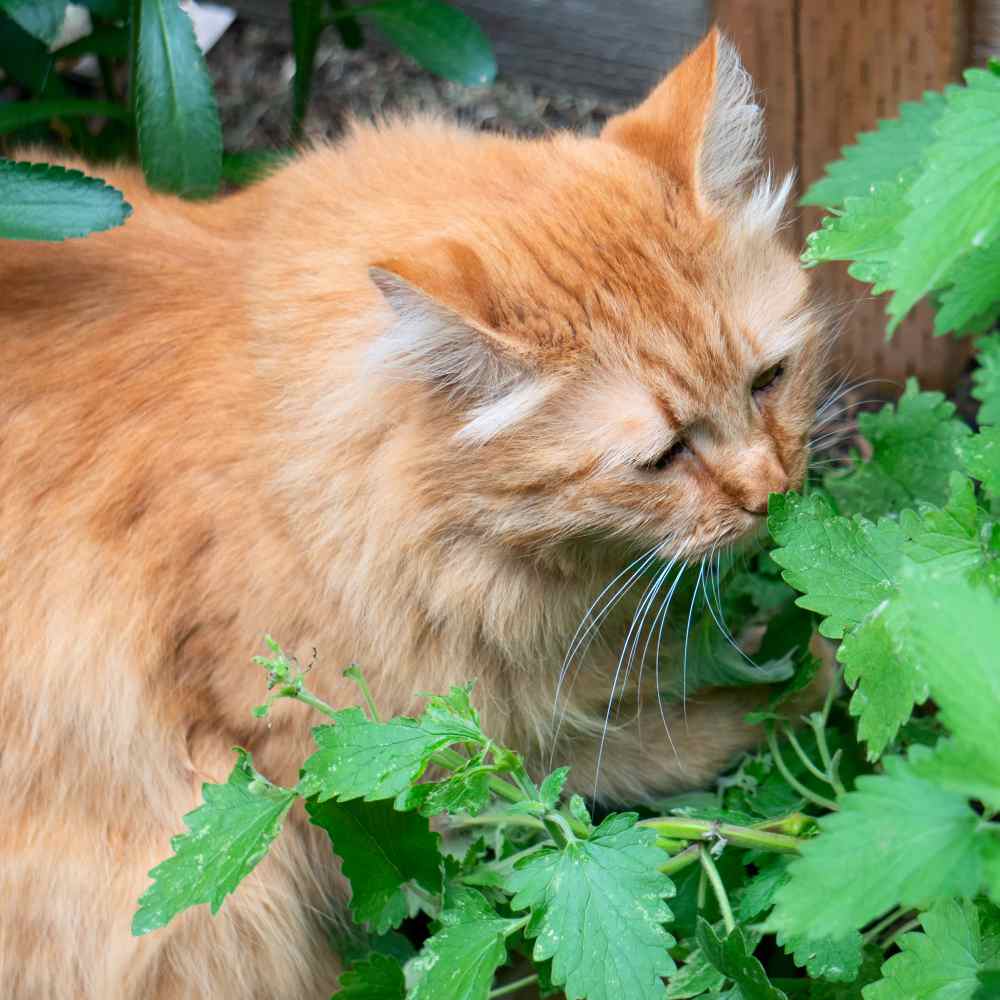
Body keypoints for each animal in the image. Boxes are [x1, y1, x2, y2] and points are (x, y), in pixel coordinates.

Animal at [3, 29, 824, 1000]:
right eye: (663, 459)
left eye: (769, 379)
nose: (771, 491)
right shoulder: (349, 762)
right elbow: (647, 753)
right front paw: (806, 679)